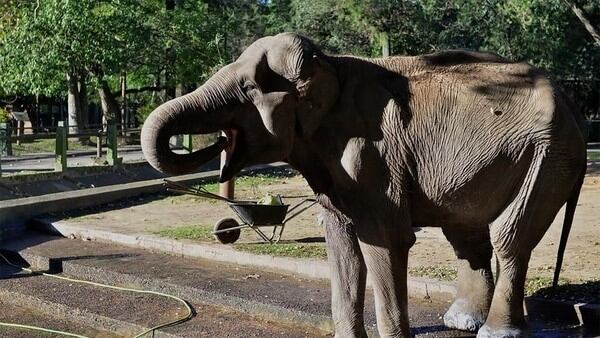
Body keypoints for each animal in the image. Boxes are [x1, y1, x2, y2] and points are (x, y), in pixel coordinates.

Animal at [141, 32, 584, 338]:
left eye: (249, 89)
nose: (214, 145)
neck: (329, 67)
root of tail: (570, 102)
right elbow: (340, 245)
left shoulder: (373, 156)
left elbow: (383, 242)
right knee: (467, 234)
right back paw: (462, 322)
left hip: (549, 157)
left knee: (510, 238)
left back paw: (495, 331)